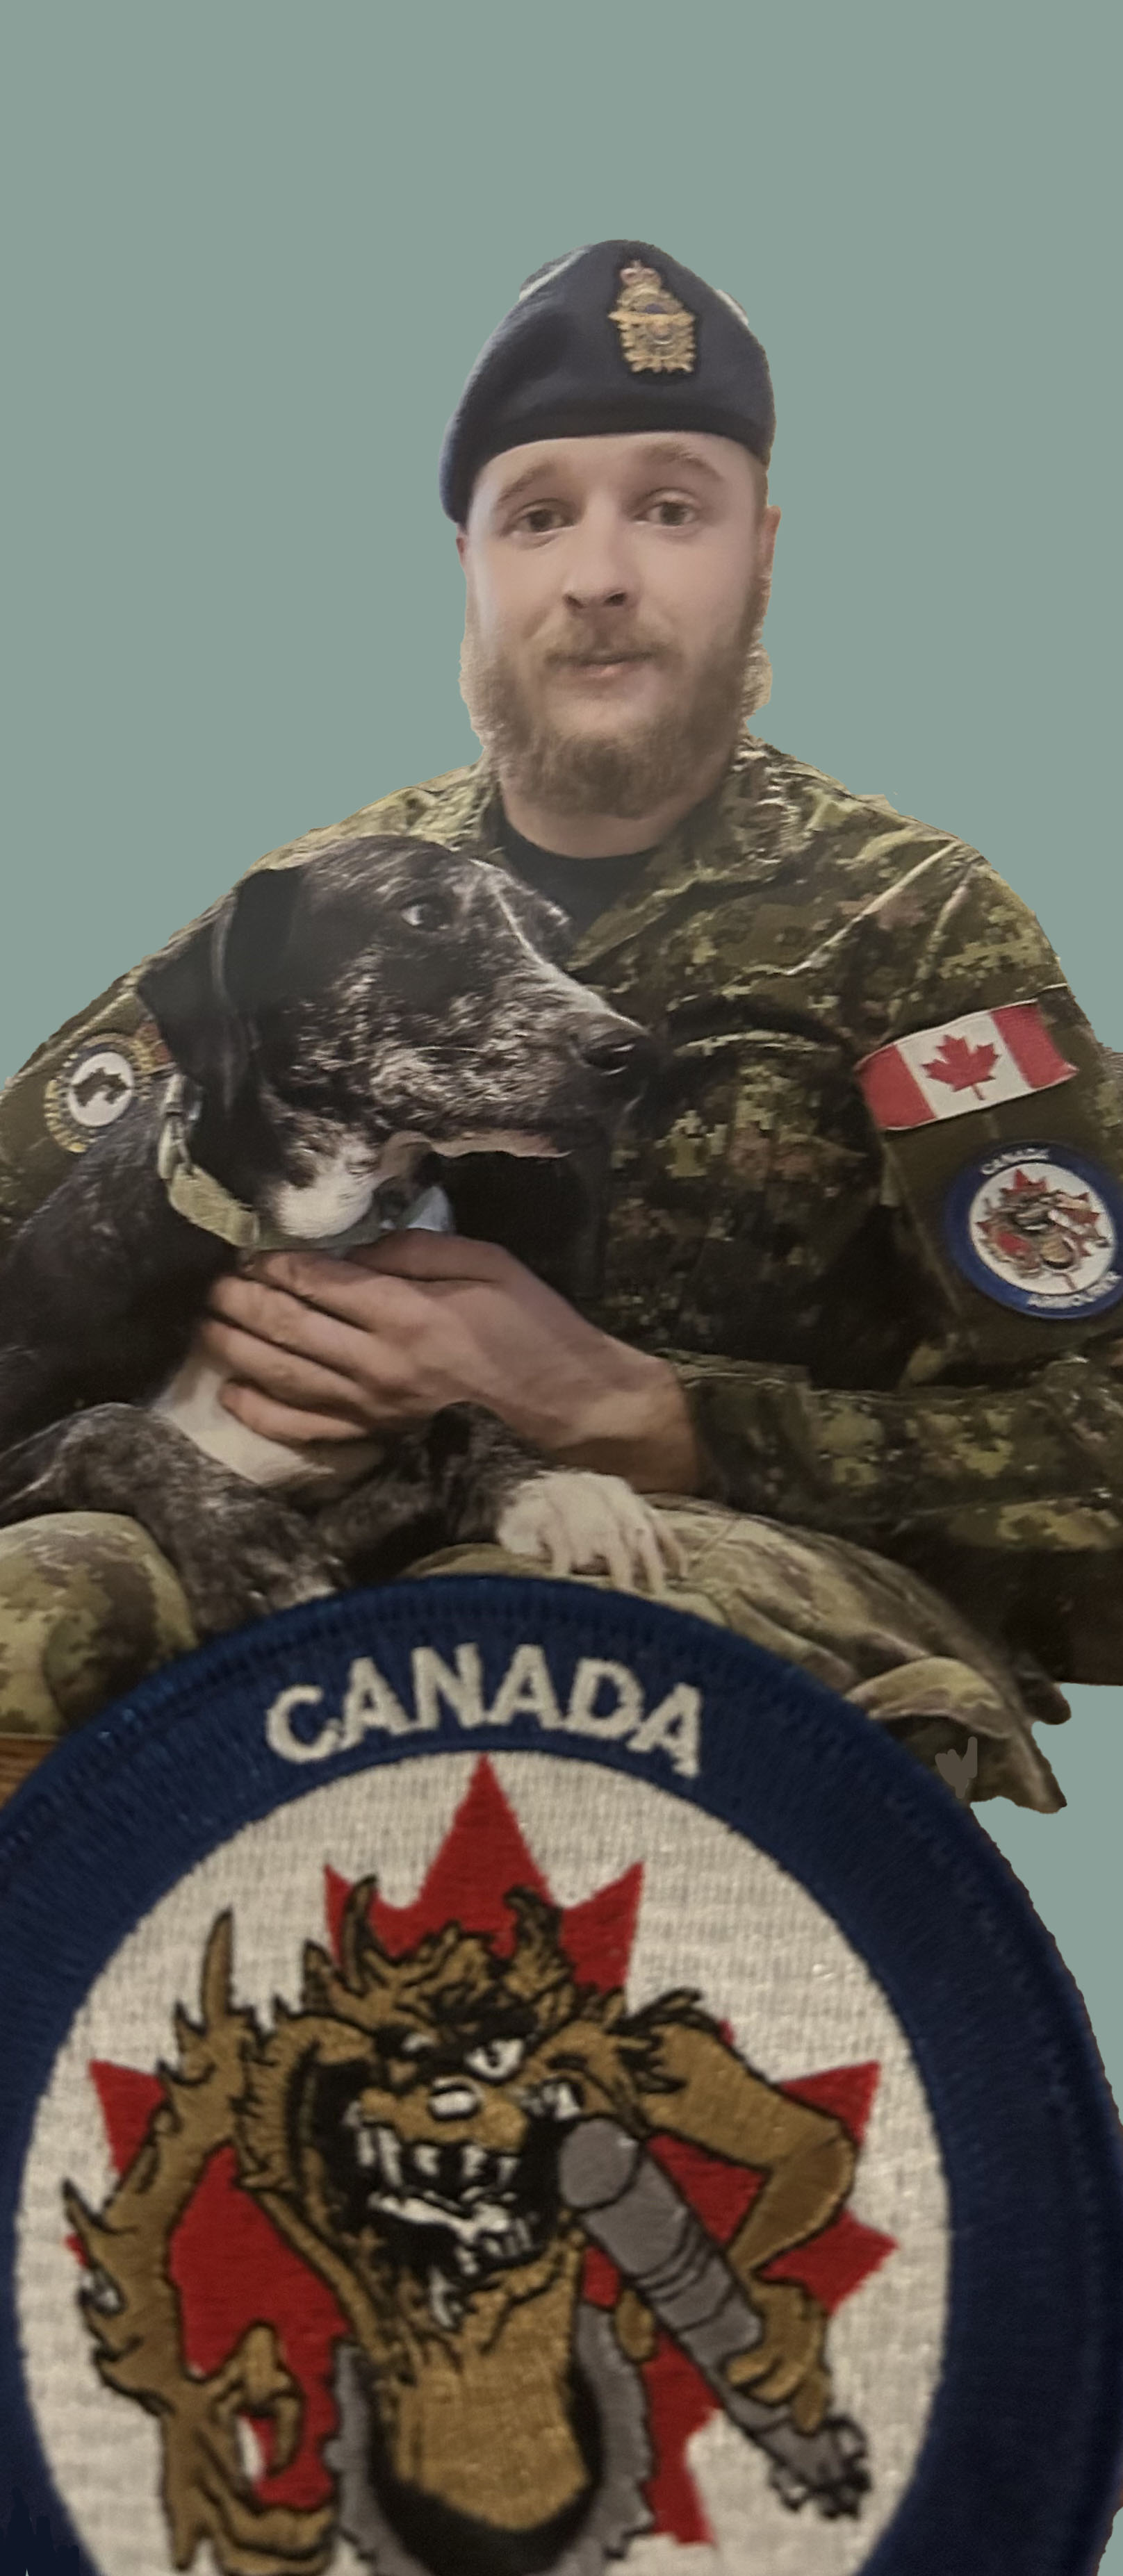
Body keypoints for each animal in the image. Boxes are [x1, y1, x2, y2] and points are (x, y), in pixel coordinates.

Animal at [0, 834, 671, 1639]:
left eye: (557, 943)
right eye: (423, 913)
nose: (636, 1055)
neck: (300, 1233)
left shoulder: (347, 1517)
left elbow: (461, 1411)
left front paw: (555, 1484)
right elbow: (107, 1425)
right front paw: (247, 1540)